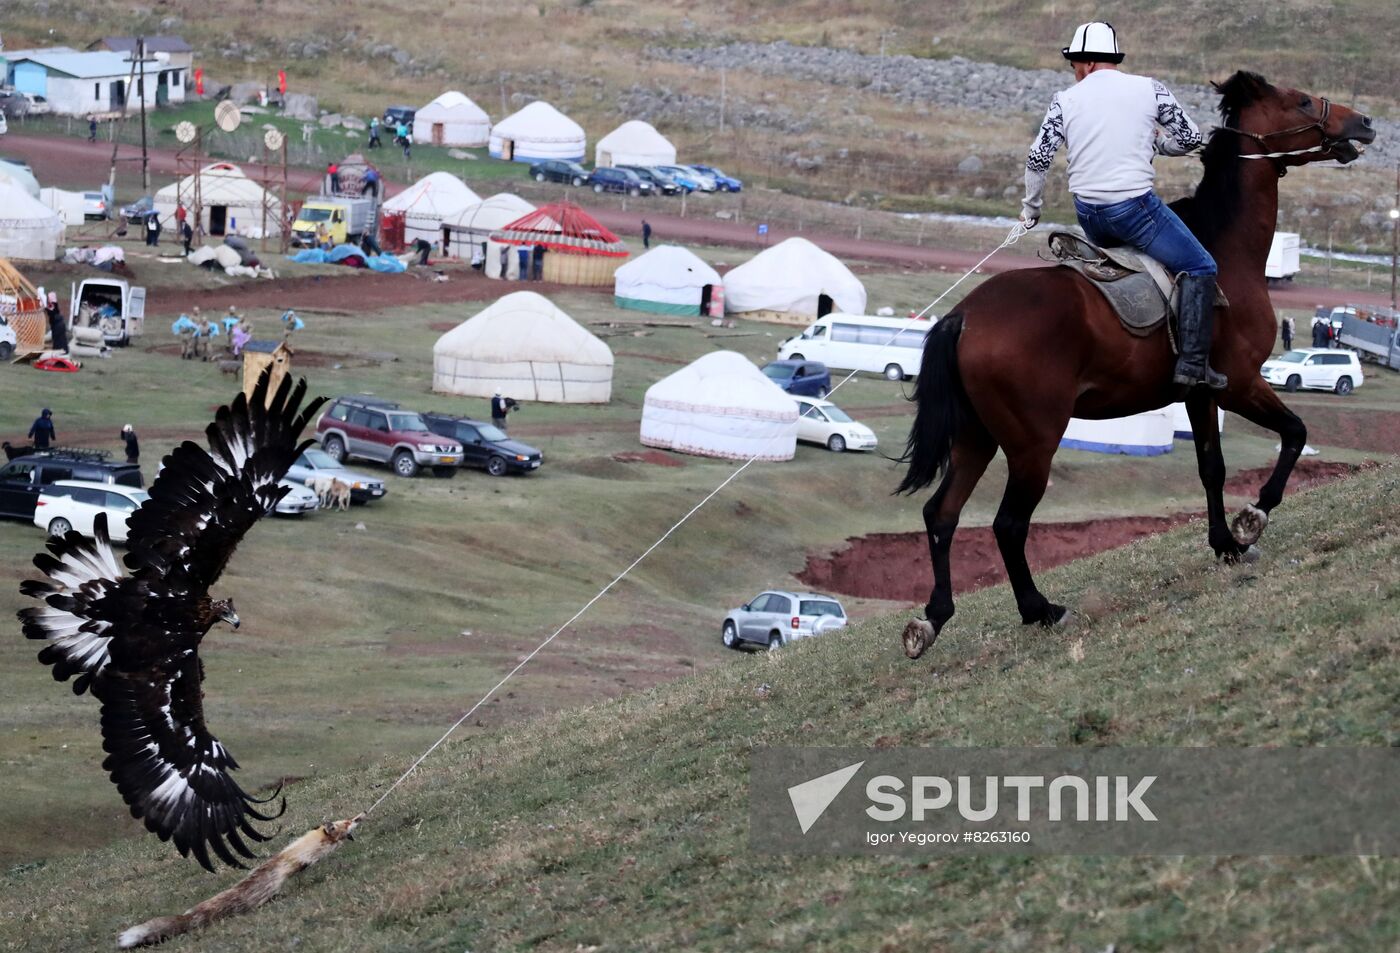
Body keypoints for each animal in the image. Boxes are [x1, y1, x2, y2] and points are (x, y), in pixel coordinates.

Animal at [901, 70, 1372, 657]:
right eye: (1303, 101)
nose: (1364, 123)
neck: (1227, 249)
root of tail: (963, 316)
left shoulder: (1200, 394)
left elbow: (1212, 468)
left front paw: (1225, 544)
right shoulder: (1239, 384)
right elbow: (1294, 432)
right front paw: (1252, 519)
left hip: (976, 437)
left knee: (941, 515)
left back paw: (933, 618)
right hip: (1033, 444)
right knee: (1008, 524)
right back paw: (1041, 609)